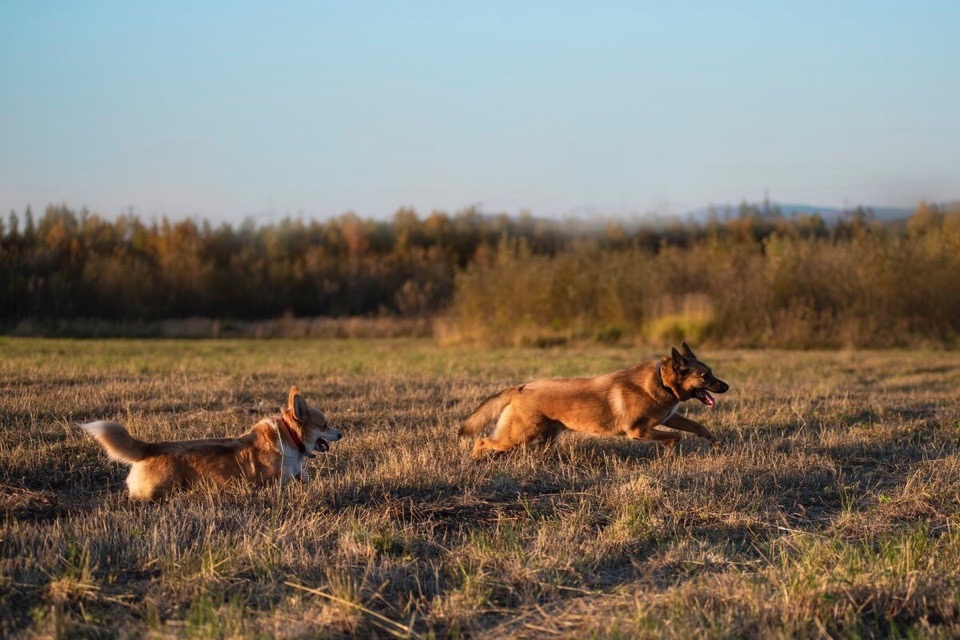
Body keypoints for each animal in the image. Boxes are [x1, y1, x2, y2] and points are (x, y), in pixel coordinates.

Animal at [81, 384, 342, 500]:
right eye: (325, 425)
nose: (341, 434)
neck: (290, 437)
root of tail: (150, 447)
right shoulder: (276, 481)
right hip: (165, 487)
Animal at [460, 342, 728, 458]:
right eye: (705, 376)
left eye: (711, 372)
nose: (726, 386)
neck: (662, 381)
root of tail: (519, 388)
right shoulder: (639, 431)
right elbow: (676, 437)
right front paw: (670, 449)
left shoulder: (670, 418)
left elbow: (697, 426)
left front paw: (717, 443)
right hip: (518, 435)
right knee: (482, 441)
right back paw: (475, 460)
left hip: (545, 436)